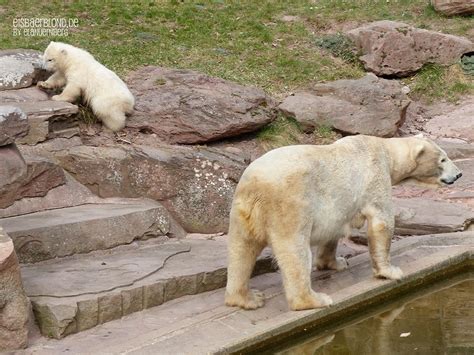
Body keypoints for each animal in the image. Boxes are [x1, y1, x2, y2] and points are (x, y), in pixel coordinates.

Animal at [226, 136, 462, 312]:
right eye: (443, 159)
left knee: (241, 251)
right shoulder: (375, 177)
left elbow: (333, 230)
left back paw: (247, 298)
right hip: (290, 205)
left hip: (242, 211)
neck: (385, 151)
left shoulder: (337, 207)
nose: (459, 174)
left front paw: (336, 263)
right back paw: (315, 300)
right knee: (295, 252)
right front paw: (391, 271)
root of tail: (256, 185)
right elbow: (382, 221)